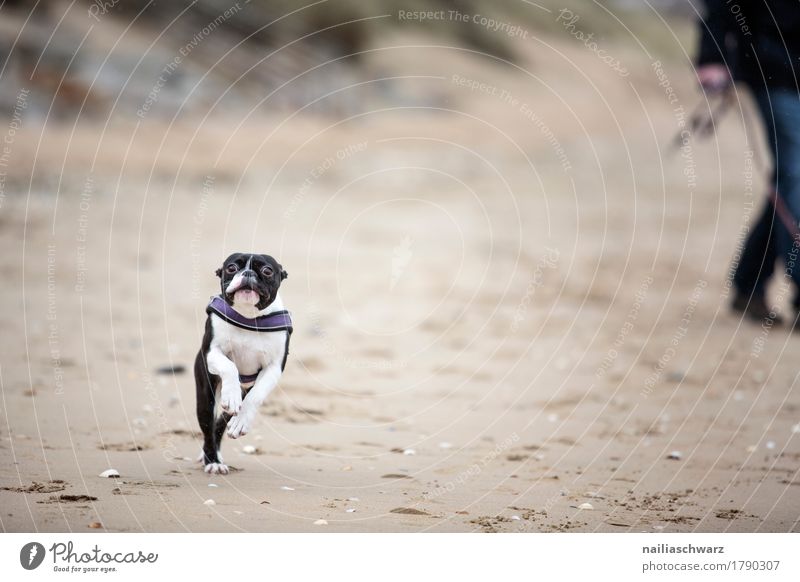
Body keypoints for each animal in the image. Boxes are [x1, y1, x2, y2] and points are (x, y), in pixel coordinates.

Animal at [192, 253, 292, 476]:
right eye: (231, 268)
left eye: (267, 271)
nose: (247, 273)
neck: (249, 317)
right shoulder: (212, 352)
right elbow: (229, 366)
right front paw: (231, 393)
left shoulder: (274, 367)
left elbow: (256, 396)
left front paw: (241, 421)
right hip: (205, 395)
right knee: (208, 427)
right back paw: (212, 460)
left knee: (221, 422)